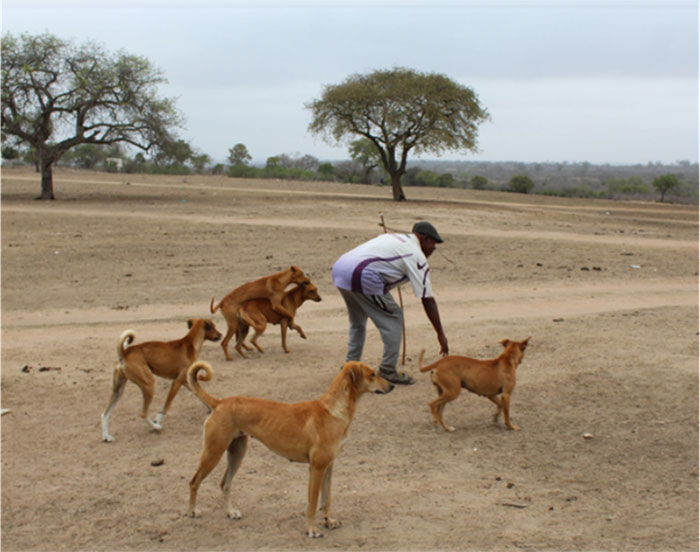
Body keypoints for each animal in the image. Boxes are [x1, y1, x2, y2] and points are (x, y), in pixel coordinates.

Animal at [185, 360, 394, 536]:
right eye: (373, 374)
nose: (392, 386)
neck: (332, 411)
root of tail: (219, 402)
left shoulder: (329, 467)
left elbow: (326, 499)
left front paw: (329, 521)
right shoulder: (316, 469)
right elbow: (312, 503)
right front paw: (312, 530)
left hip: (237, 453)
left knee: (225, 484)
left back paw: (230, 512)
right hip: (213, 453)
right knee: (194, 482)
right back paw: (192, 511)